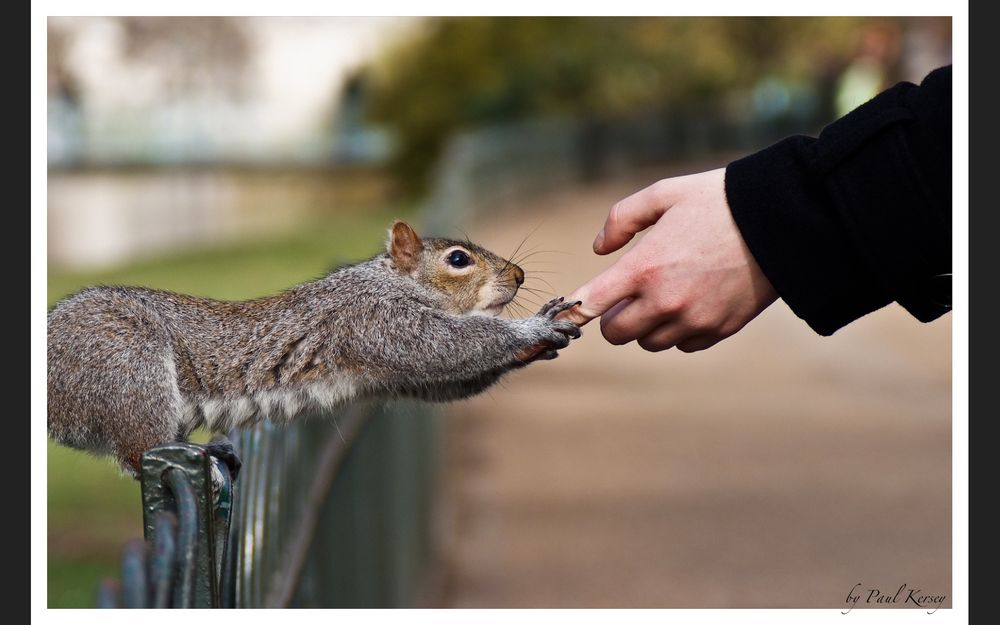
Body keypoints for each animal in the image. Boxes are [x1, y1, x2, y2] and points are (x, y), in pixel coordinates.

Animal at [47, 219, 584, 478]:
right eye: (458, 260)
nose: (520, 275)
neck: (389, 282)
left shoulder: (391, 371)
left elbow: (449, 379)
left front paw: (536, 343)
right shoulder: (373, 322)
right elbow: (448, 346)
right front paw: (531, 330)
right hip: (125, 364)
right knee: (138, 452)